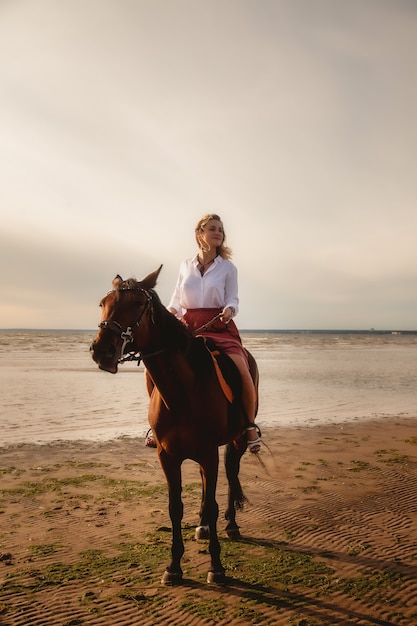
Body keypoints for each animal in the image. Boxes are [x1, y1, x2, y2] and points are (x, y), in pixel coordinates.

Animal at [90, 266, 258, 584]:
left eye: (137, 304)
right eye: (103, 303)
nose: (102, 350)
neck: (182, 391)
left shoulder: (208, 453)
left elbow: (213, 503)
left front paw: (216, 566)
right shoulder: (167, 456)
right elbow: (175, 507)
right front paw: (173, 566)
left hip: (237, 440)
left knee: (231, 475)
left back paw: (231, 525)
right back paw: (203, 527)